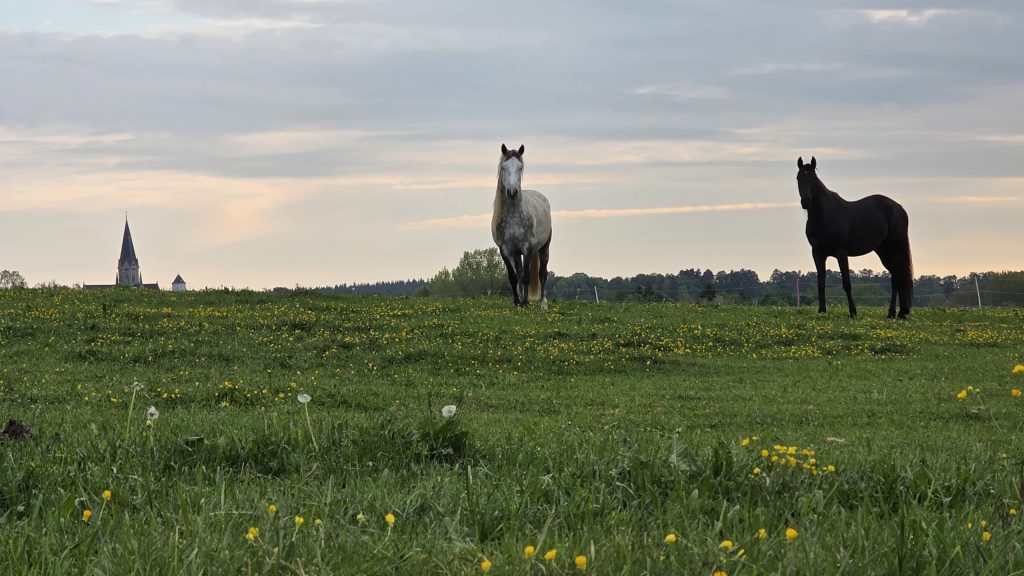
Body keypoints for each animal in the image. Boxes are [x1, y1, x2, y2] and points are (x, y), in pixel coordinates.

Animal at [491, 144, 552, 309]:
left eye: (520, 167)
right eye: (504, 167)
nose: (512, 192)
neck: (514, 217)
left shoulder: (528, 248)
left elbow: (526, 277)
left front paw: (525, 303)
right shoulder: (505, 250)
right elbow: (513, 277)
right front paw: (517, 302)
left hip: (544, 248)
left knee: (542, 274)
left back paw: (543, 303)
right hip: (517, 253)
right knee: (519, 272)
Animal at [796, 156, 913, 319]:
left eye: (813, 178)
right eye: (798, 178)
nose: (806, 202)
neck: (824, 216)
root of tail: (899, 208)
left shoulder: (841, 253)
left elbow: (847, 284)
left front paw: (852, 312)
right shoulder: (817, 253)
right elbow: (820, 283)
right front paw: (821, 310)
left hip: (896, 248)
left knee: (900, 276)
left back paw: (901, 313)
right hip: (884, 251)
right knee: (896, 277)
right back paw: (893, 313)